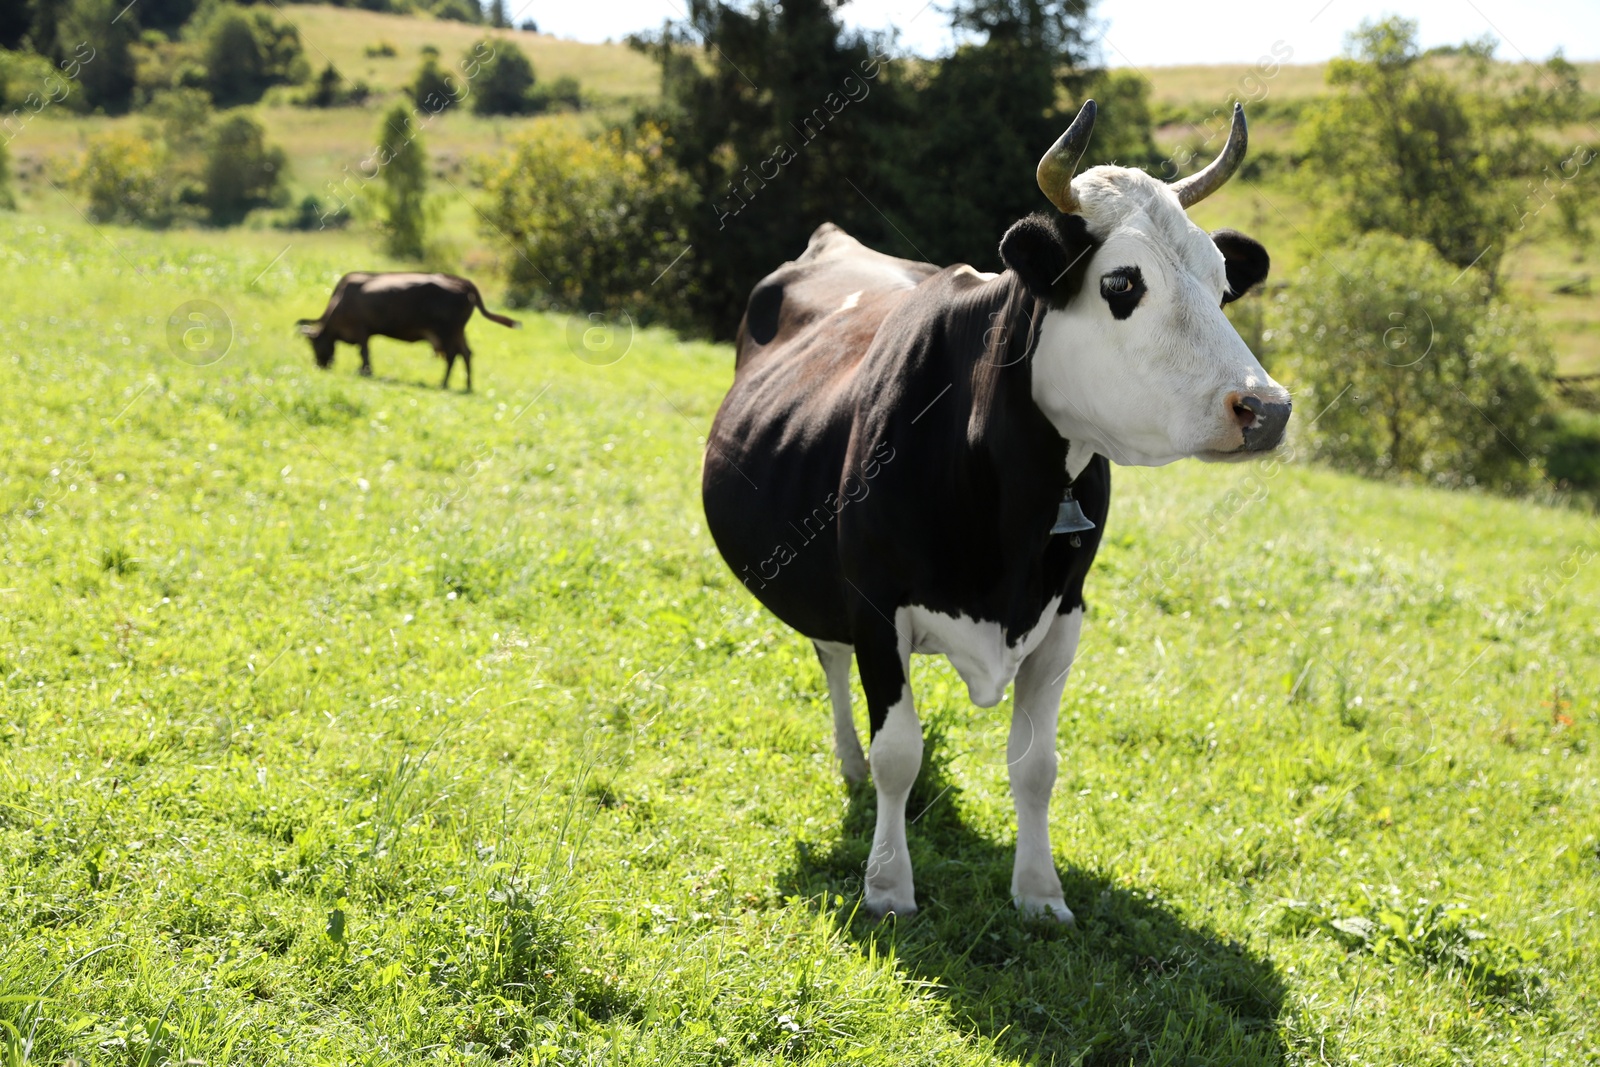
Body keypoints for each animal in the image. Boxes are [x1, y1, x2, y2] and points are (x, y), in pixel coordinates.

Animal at [297, 275, 521, 391]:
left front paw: (366, 371)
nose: (320, 366)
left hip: (448, 332)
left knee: (453, 355)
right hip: (457, 333)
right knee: (466, 353)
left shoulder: (361, 330)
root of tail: (461, 282)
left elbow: (364, 353)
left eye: (314, 345)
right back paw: (466, 385)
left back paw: (444, 383)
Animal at [700, 99, 1286, 921]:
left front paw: (1040, 892)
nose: (1267, 408)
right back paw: (847, 760)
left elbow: (1037, 765)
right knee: (830, 657)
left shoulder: (1066, 612)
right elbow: (898, 753)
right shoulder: (873, 602)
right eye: (1122, 283)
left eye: (1223, 281)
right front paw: (888, 885)